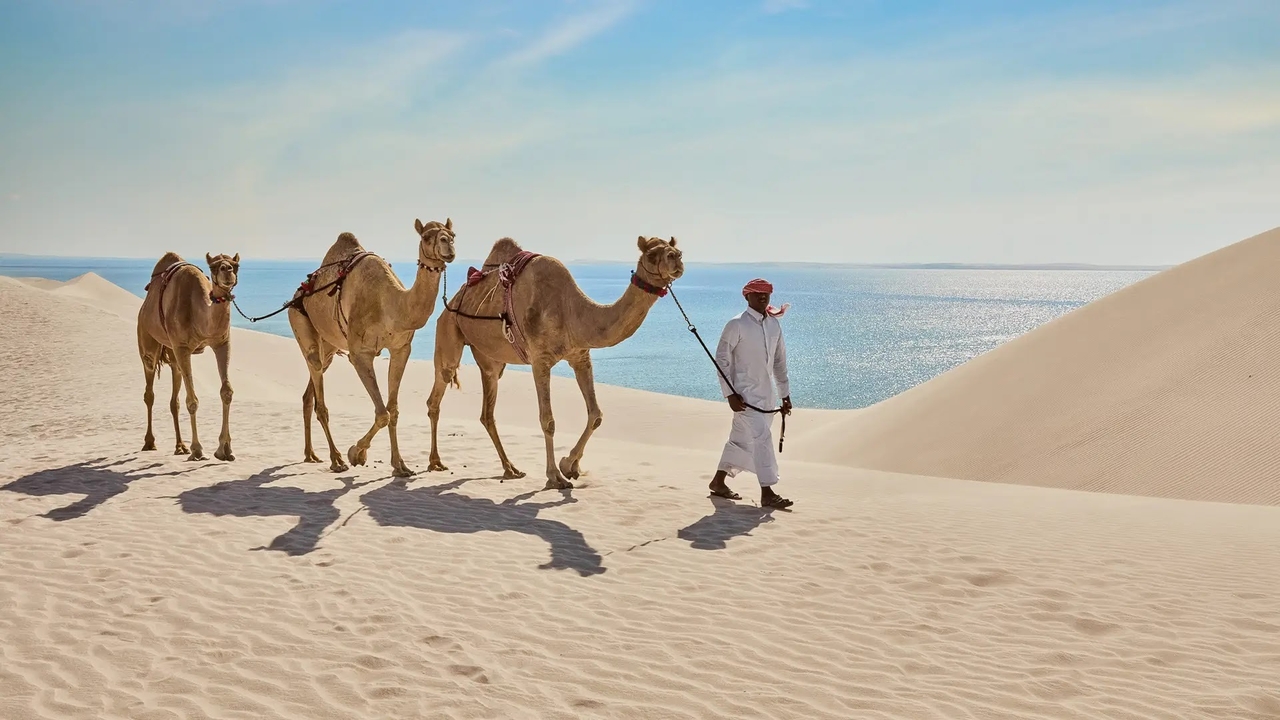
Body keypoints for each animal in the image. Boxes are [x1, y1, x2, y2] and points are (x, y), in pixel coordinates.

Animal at [137, 252, 240, 462]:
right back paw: (150, 442)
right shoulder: (182, 348)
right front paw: (198, 450)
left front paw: (225, 449)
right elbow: (192, 401)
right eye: (214, 266)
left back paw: (180, 446)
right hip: (148, 344)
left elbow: (226, 392)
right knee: (149, 392)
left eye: (236, 264)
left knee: (174, 399)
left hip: (172, 353)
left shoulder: (221, 343)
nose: (227, 270)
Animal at [288, 218, 456, 477]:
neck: (392, 305)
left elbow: (392, 410)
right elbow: (382, 413)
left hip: (329, 345)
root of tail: (298, 293)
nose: (448, 245)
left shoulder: (401, 349)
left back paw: (311, 454)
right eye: (427, 237)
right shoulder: (359, 353)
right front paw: (356, 453)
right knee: (317, 382)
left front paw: (400, 465)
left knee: (310, 392)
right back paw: (336, 459)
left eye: (453, 234)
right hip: (299, 319)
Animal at [427, 235, 685, 489]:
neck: (572, 311)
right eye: (652, 253)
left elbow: (596, 415)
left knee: (487, 412)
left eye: (675, 249)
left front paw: (570, 465)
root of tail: (454, 299)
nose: (677, 258)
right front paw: (554, 476)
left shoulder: (580, 356)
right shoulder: (540, 360)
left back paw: (510, 469)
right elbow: (548, 420)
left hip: (491, 361)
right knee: (438, 391)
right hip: (448, 329)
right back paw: (435, 462)